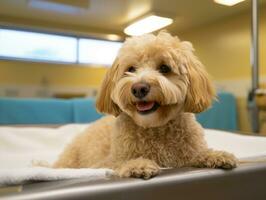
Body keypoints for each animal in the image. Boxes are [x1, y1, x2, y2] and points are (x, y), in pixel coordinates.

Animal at [53, 31, 237, 180]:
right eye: (131, 69)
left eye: (164, 68)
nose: (139, 88)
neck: (154, 127)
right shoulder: (107, 161)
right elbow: (119, 162)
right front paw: (138, 164)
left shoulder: (186, 153)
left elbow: (196, 154)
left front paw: (215, 155)